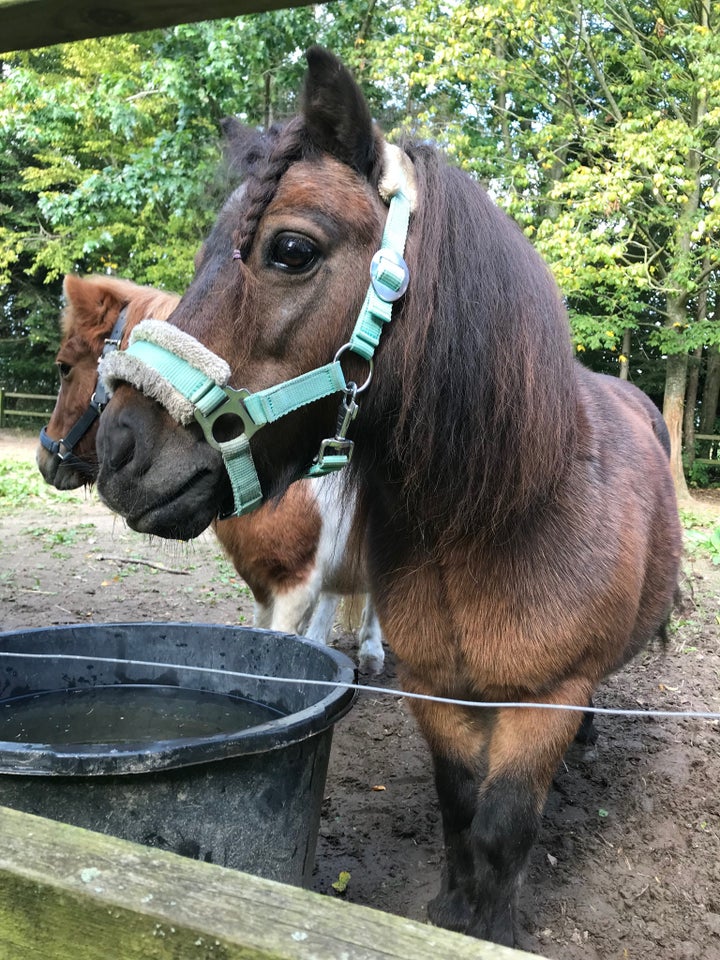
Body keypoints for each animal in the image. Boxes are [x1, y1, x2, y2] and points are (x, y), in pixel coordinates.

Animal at [94, 50, 680, 944]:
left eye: (290, 249)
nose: (118, 449)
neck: (509, 519)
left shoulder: (545, 701)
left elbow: (505, 826)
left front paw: (488, 927)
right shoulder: (433, 690)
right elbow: (461, 809)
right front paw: (450, 912)